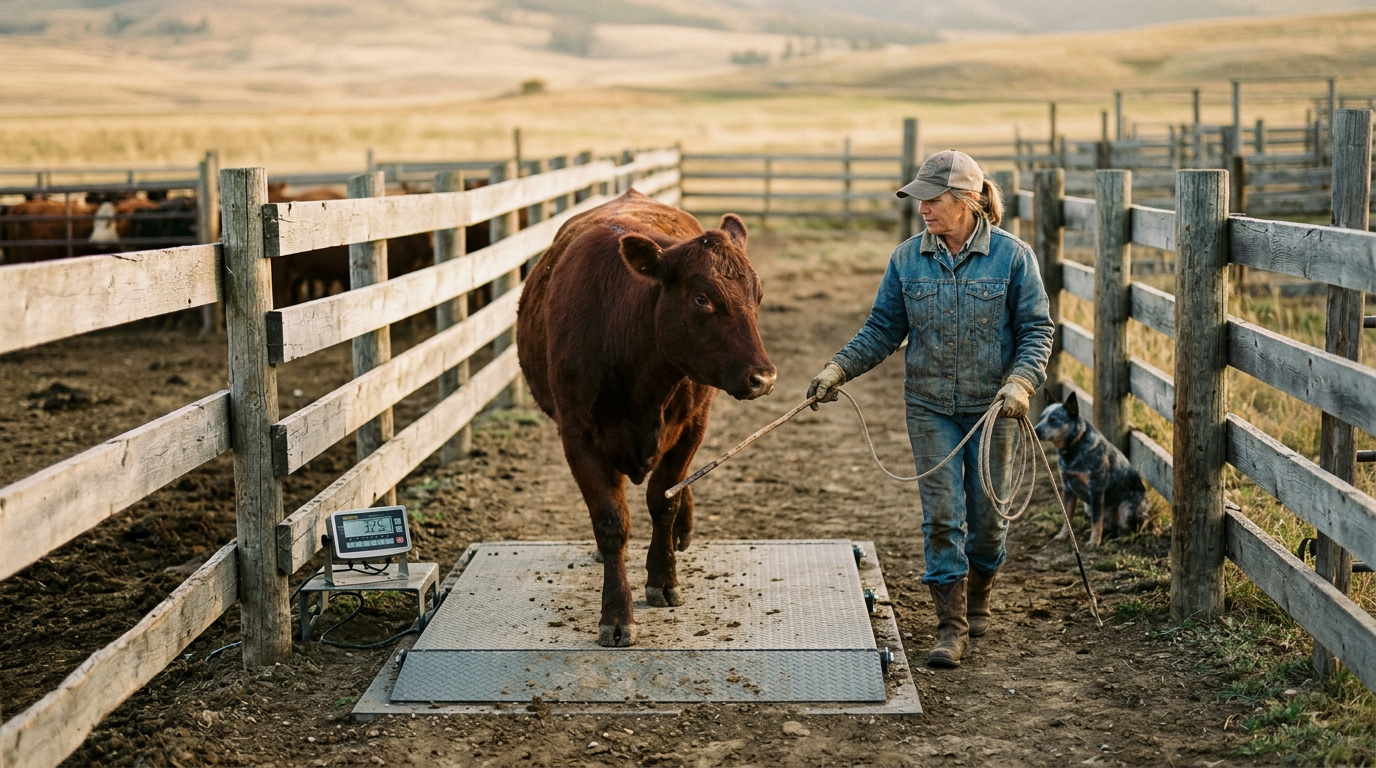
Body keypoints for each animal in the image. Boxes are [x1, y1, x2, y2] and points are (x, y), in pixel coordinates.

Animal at [516, 190, 776, 647]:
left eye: (757, 295)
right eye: (702, 298)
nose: (762, 377)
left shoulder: (692, 425)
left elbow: (663, 500)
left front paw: (663, 578)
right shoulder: (577, 434)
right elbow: (611, 521)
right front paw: (617, 613)